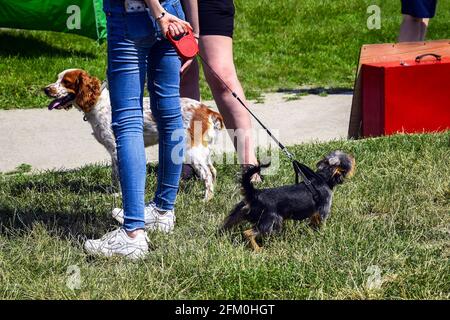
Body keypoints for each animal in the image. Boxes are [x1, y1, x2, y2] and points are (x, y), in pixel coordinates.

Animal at [44, 69, 223, 200]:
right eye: (57, 79)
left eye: (66, 82)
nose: (45, 89)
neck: (99, 104)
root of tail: (206, 109)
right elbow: (114, 175)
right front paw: (113, 192)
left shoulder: (117, 149)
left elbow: (120, 175)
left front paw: (119, 195)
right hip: (201, 151)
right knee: (213, 170)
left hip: (192, 151)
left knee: (207, 174)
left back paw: (206, 199)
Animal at [221, 151, 356, 251]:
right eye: (348, 161)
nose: (353, 156)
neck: (323, 178)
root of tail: (255, 194)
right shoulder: (322, 211)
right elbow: (321, 225)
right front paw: (322, 235)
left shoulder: (314, 215)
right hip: (271, 222)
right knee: (248, 233)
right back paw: (258, 249)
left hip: (239, 212)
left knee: (227, 224)